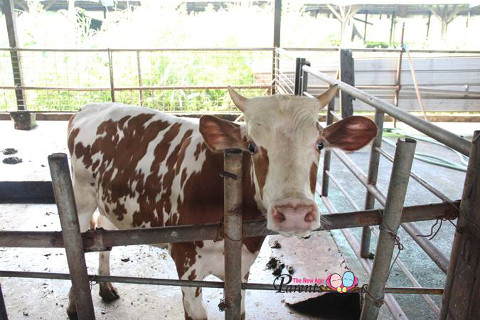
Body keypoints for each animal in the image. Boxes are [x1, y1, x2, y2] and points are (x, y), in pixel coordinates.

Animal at [65, 86, 376, 318]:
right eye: (251, 146)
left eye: (320, 144)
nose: (295, 213)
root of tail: (88, 107)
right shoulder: (186, 264)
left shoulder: (242, 267)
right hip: (79, 200)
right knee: (76, 247)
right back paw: (73, 304)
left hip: (110, 204)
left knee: (104, 235)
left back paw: (106, 288)